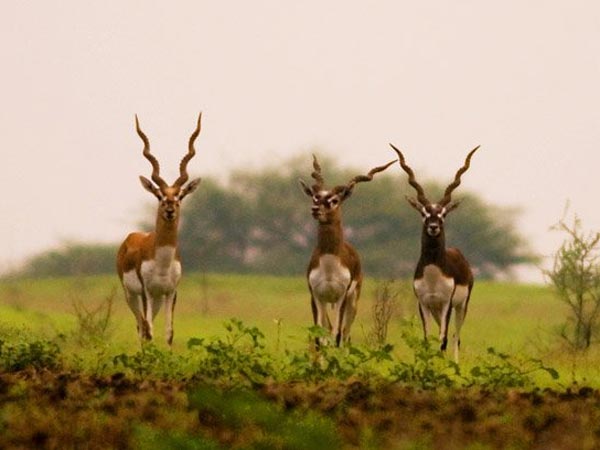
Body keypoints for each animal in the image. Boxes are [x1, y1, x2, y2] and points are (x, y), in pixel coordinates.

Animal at [116, 114, 203, 346]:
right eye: (159, 195)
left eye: (180, 195)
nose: (170, 210)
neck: (162, 262)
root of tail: (131, 237)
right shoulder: (146, 291)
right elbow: (149, 331)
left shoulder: (170, 292)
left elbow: (169, 333)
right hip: (131, 296)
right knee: (141, 326)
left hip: (155, 300)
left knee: (144, 325)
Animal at [298, 156, 396, 348]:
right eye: (315, 197)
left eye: (334, 200)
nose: (315, 210)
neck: (329, 264)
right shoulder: (316, 296)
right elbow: (319, 338)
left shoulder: (341, 297)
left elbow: (337, 336)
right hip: (328, 303)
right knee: (329, 330)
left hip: (353, 301)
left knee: (345, 334)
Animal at [392, 143, 480, 362]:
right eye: (424, 213)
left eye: (443, 214)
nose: (433, 227)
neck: (433, 275)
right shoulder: (424, 304)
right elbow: (427, 339)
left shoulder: (446, 303)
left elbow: (443, 339)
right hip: (436, 311)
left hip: (461, 307)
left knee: (456, 337)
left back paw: (455, 363)